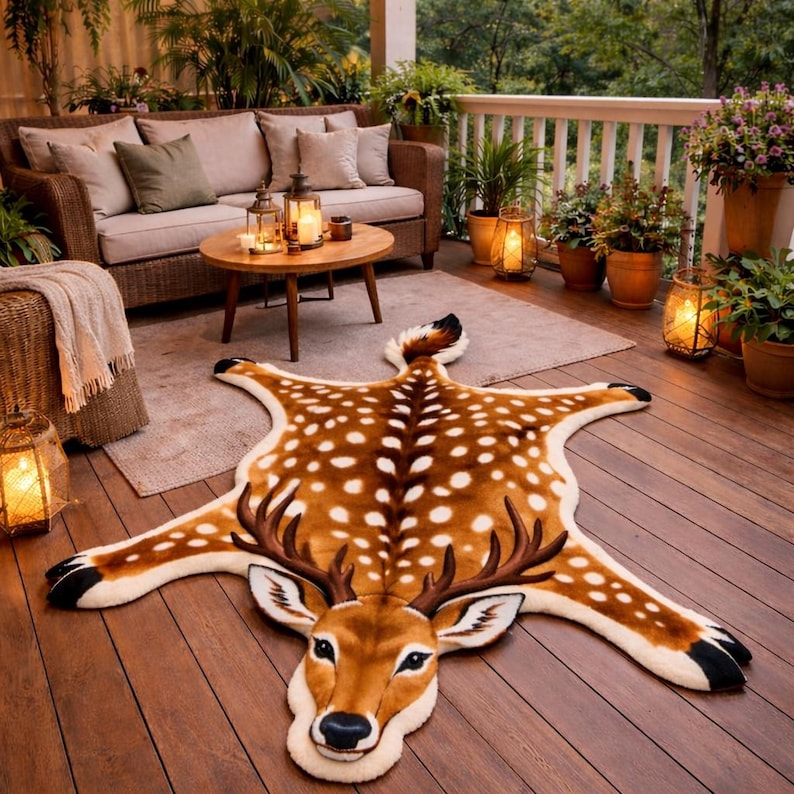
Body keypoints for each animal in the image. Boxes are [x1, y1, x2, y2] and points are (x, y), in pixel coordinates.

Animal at [45, 314, 751, 783]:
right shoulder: (243, 504)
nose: (343, 731)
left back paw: (626, 389)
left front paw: (714, 647)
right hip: (320, 400)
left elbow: (639, 609)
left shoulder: (558, 542)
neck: (387, 571)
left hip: (526, 415)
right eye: (319, 647)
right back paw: (237, 362)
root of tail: (422, 379)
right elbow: (153, 547)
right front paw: (80, 568)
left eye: (419, 660)